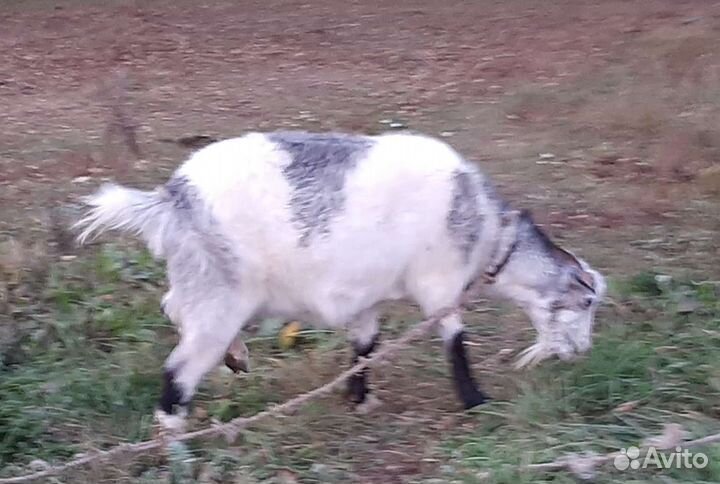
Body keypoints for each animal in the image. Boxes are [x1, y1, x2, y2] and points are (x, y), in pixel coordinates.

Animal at [74, 130, 606, 431]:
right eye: (586, 304)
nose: (583, 352)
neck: (488, 233)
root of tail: (171, 198)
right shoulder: (440, 284)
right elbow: (455, 337)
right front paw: (476, 402)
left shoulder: (367, 297)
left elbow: (365, 345)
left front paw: (360, 397)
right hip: (218, 297)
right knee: (179, 367)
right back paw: (173, 432)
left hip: (200, 279)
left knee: (172, 307)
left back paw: (236, 357)